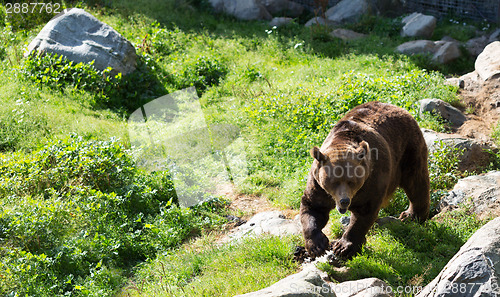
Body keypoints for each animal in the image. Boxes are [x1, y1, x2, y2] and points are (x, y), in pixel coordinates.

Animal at [298, 100, 432, 258]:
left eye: (351, 181)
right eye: (334, 182)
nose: (344, 201)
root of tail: (399, 108)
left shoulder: (371, 180)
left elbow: (364, 213)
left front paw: (343, 246)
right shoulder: (318, 185)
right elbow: (313, 207)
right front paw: (317, 245)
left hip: (408, 149)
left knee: (416, 182)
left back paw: (412, 215)